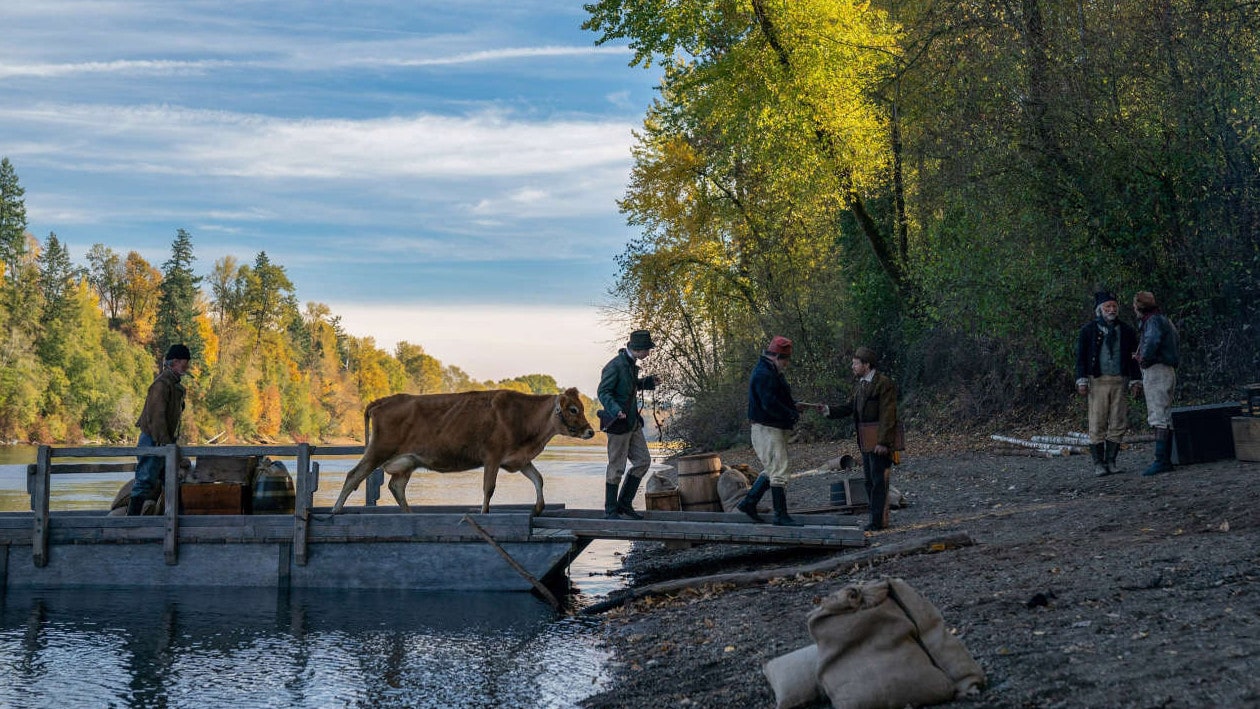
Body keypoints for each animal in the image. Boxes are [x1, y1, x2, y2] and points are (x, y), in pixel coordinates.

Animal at [330, 387, 594, 516]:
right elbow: (489, 488)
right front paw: (484, 512)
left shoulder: (518, 459)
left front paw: (539, 508)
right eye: (572, 409)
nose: (591, 431)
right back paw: (336, 509)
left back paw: (408, 513)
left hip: (407, 462)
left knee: (396, 486)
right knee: (354, 475)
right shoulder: (492, 456)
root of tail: (384, 400)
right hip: (379, 450)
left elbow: (538, 479)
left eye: (580, 407)